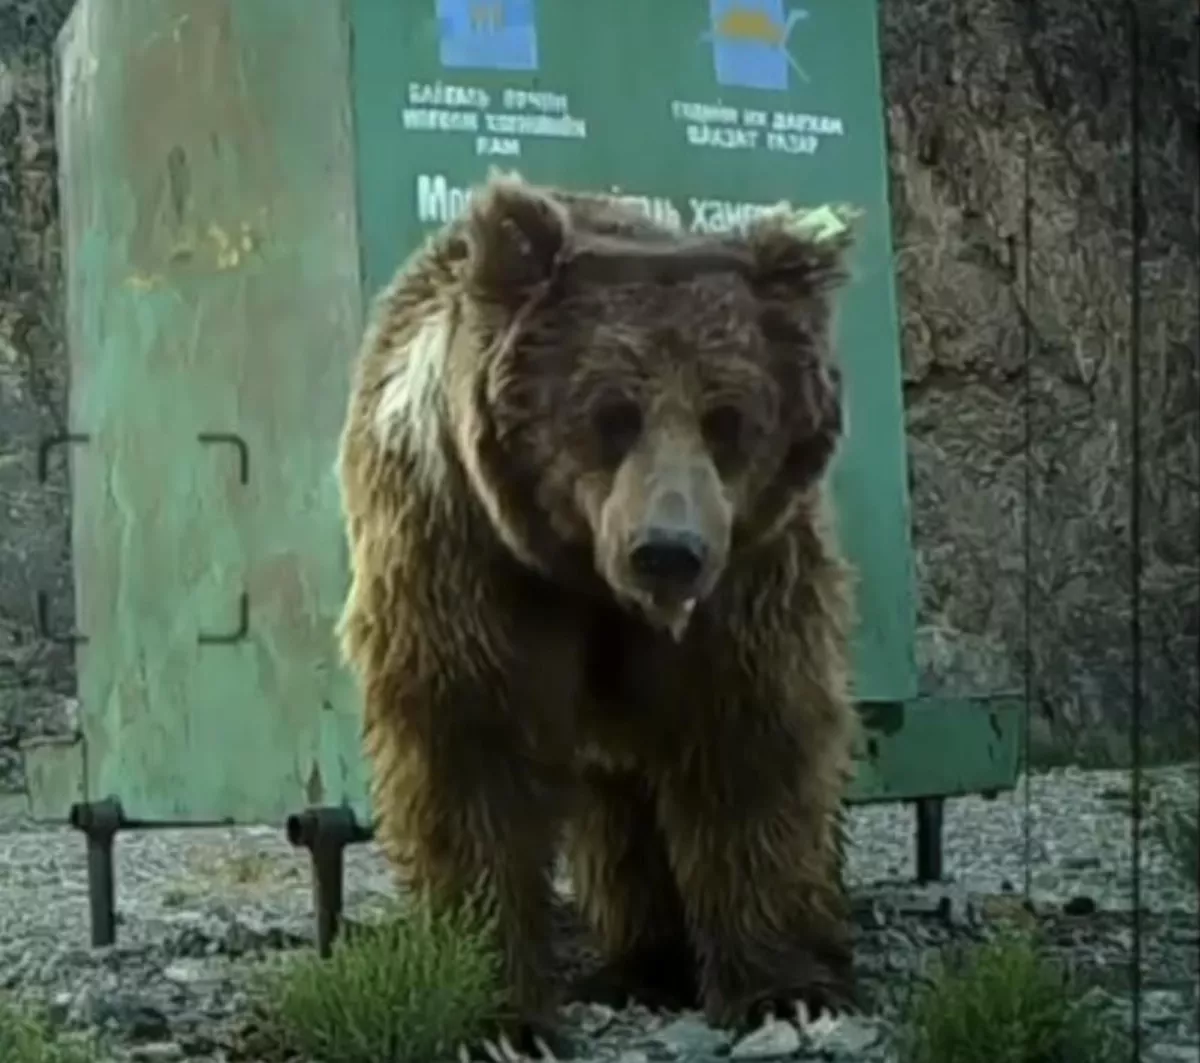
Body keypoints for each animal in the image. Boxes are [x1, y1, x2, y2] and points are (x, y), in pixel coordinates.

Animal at [335, 171, 860, 1054]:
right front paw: (501, 1018)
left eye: (728, 417)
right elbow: (474, 757)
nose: (668, 549)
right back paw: (637, 963)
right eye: (611, 413)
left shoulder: (743, 580)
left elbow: (748, 740)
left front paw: (786, 989)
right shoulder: (471, 562)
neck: (592, 581)